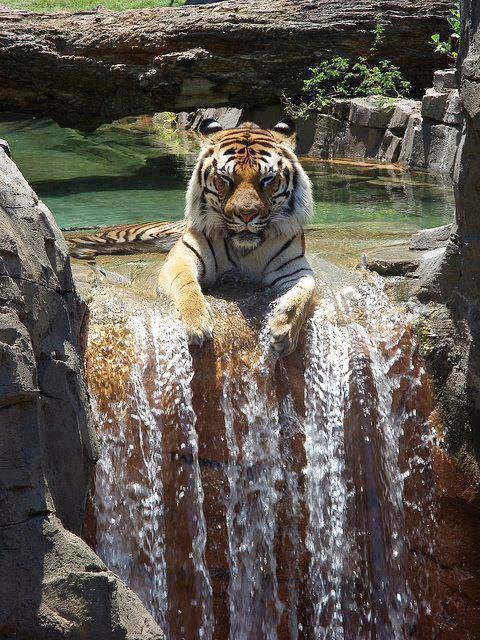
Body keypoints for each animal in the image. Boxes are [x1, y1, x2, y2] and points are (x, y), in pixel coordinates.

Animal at [159, 117, 316, 357]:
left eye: (267, 179)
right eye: (226, 179)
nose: (247, 214)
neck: (243, 249)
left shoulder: (296, 267)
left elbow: (304, 292)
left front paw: (284, 328)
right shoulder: (180, 257)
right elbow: (185, 283)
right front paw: (197, 323)